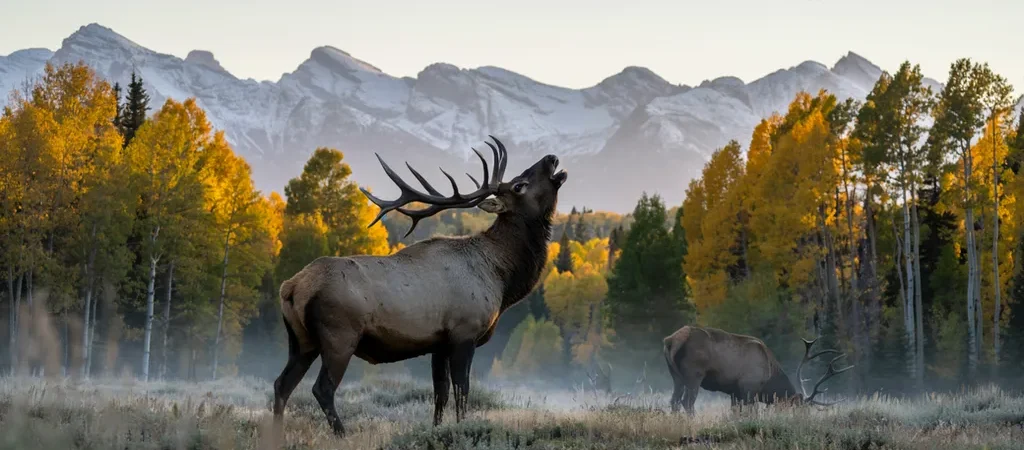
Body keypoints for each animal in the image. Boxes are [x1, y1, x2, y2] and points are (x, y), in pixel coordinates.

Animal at [272, 136, 567, 437]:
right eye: (519, 185)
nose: (551, 158)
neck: (501, 277)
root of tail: (291, 287)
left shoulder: (439, 343)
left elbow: (441, 394)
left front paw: (436, 429)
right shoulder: (464, 332)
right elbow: (462, 393)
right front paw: (461, 429)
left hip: (301, 341)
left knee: (281, 385)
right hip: (339, 336)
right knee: (322, 389)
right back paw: (342, 435)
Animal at [662, 325, 853, 415]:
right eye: (797, 409)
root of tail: (671, 340)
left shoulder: (734, 392)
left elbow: (735, 413)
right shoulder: (749, 387)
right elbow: (750, 413)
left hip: (675, 375)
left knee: (674, 401)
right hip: (694, 374)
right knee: (687, 402)